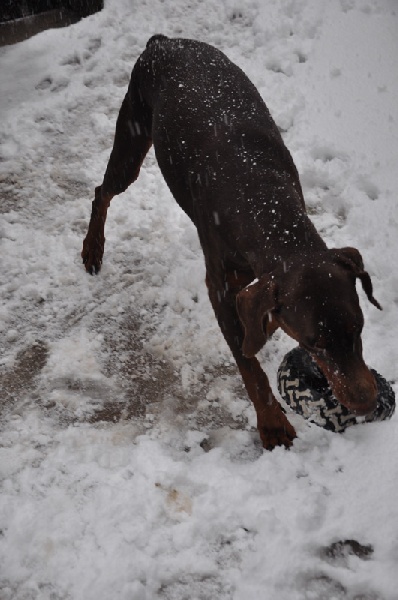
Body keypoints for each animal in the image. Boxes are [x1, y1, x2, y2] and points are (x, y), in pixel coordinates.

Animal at [81, 36, 382, 450]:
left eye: (359, 327)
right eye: (314, 343)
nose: (367, 403)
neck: (263, 203)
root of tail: (161, 42)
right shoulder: (221, 287)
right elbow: (248, 362)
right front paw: (273, 424)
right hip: (131, 135)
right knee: (103, 191)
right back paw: (92, 248)